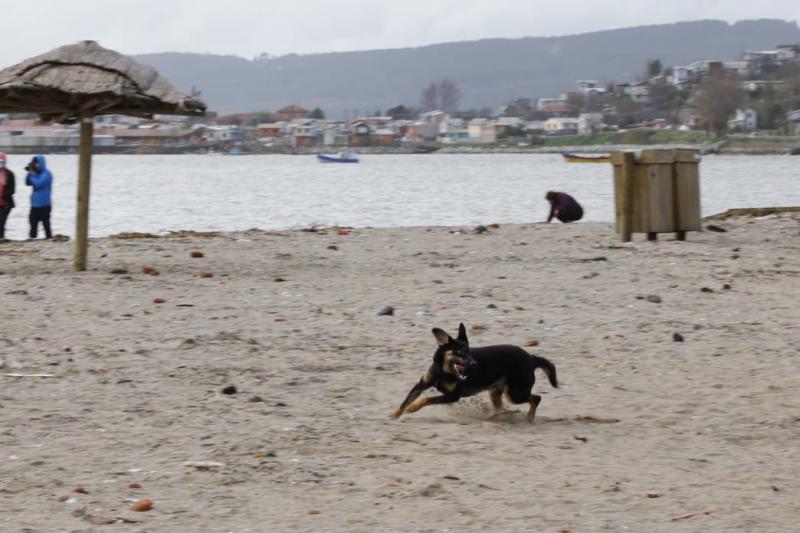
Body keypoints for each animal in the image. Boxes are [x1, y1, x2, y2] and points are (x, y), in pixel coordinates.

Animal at [392, 322, 556, 422]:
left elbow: (426, 399)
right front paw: (394, 415)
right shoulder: (420, 385)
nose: (474, 363)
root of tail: (531, 358)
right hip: (496, 392)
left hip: (515, 394)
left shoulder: (452, 396)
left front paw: (413, 408)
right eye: (461, 352)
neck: (444, 371)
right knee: (502, 407)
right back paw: (496, 417)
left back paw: (529, 417)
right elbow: (405, 401)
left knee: (536, 398)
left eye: (469, 351)